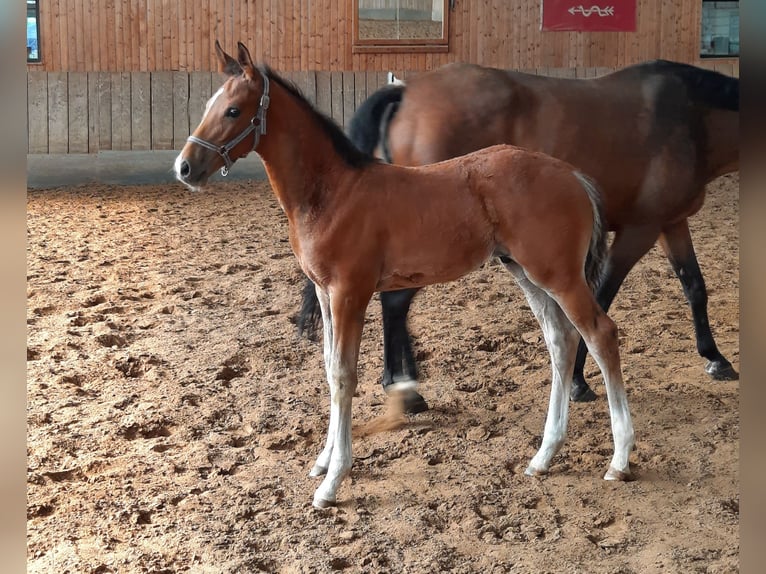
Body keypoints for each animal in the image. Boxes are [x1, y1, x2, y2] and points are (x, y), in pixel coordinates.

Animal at [174, 41, 635, 508]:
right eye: (209, 105)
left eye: (233, 110)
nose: (185, 167)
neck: (332, 194)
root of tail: (572, 174)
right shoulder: (324, 293)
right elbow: (328, 369)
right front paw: (323, 461)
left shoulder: (349, 293)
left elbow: (343, 376)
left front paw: (332, 480)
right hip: (527, 273)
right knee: (561, 341)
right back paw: (543, 456)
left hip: (559, 275)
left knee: (601, 334)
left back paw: (618, 460)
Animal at [297, 60, 739, 408]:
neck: (691, 118)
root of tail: (407, 91)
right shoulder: (639, 230)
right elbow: (602, 298)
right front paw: (579, 381)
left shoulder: (670, 223)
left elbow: (694, 285)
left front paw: (716, 357)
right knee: (395, 303)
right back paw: (404, 389)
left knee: (395, 304)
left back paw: (403, 386)